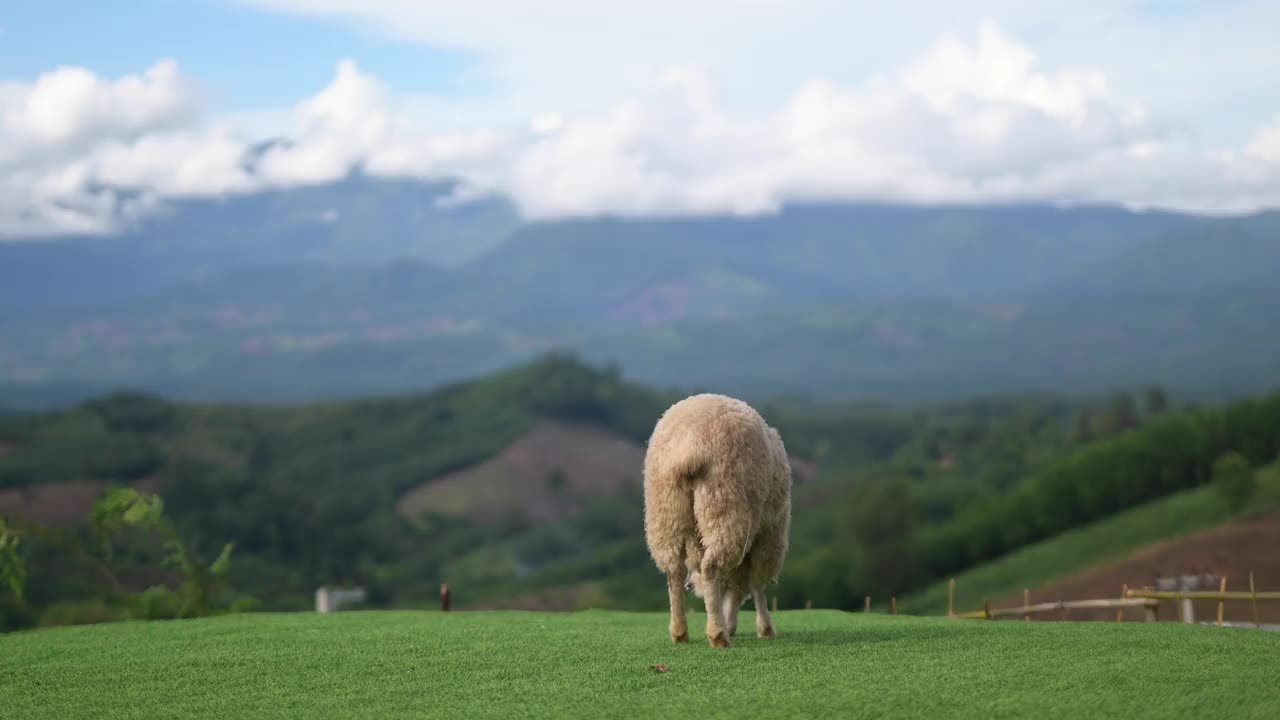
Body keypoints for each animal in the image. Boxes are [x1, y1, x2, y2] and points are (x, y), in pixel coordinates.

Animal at [640, 392, 788, 645]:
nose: (732, 626)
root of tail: (689, 446)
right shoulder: (769, 535)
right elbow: (758, 584)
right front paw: (765, 629)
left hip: (665, 512)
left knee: (674, 571)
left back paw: (680, 632)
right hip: (726, 506)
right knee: (710, 567)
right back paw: (718, 634)